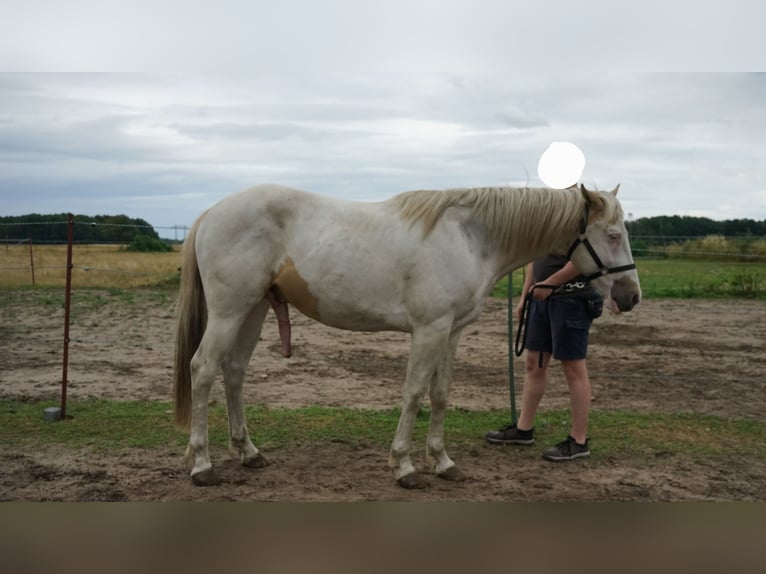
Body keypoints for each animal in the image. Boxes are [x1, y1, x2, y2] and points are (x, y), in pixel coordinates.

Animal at [173, 183, 641, 489]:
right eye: (613, 234)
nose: (630, 295)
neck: (469, 237)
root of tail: (211, 213)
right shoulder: (429, 328)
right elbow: (414, 393)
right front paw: (405, 466)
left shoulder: (451, 332)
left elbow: (440, 394)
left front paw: (443, 462)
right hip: (230, 310)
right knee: (203, 370)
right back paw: (202, 464)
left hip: (252, 310)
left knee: (234, 372)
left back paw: (248, 453)